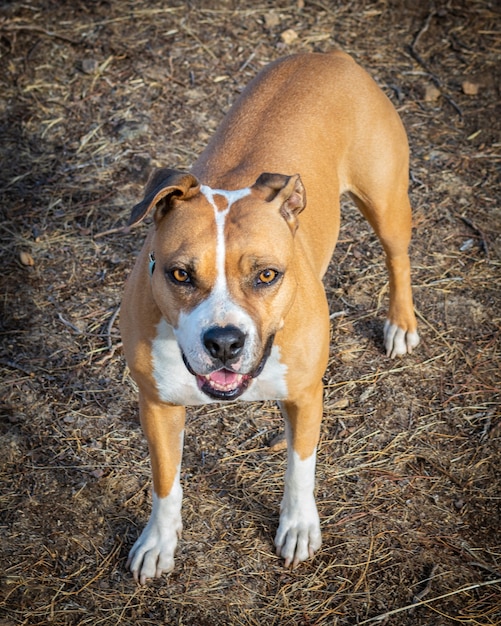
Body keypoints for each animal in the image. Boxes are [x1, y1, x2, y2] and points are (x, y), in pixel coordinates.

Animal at [120, 51, 418, 584]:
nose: (224, 342)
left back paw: (401, 324)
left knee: (397, 256)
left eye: (266, 275)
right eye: (179, 274)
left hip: (385, 199)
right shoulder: (157, 404)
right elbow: (164, 480)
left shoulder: (305, 394)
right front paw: (158, 542)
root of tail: (329, 54)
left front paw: (298, 527)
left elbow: (300, 466)